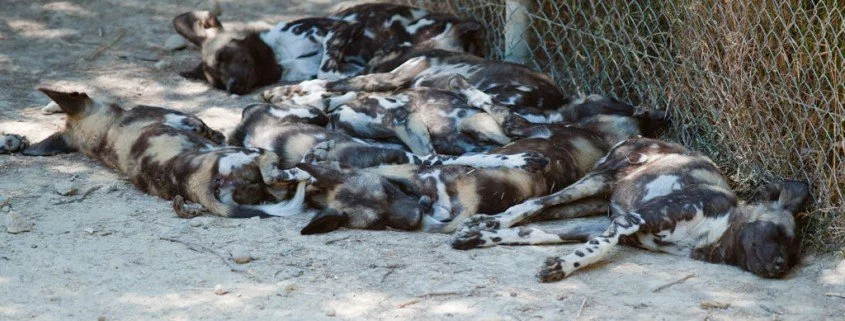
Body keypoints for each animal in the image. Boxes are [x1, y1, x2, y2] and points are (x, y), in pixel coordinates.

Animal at [22, 88, 306, 218]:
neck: (106, 133)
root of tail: (199, 186)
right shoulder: (187, 120)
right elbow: (207, 128)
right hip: (247, 152)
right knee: (271, 171)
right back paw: (302, 172)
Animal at [172, 3, 484, 94]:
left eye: (226, 55)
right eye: (217, 80)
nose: (233, 87)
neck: (279, 59)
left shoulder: (336, 30)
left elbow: (326, 69)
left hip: (410, 34)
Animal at [454, 137, 812, 280]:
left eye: (793, 256)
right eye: (777, 234)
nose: (780, 266)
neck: (717, 234)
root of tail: (640, 135)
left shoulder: (608, 225)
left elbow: (534, 235)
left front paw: (481, 240)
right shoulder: (629, 221)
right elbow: (596, 249)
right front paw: (564, 268)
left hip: (589, 205)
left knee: (539, 214)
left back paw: (483, 225)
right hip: (594, 182)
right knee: (536, 202)